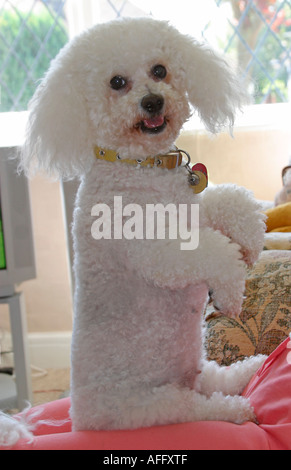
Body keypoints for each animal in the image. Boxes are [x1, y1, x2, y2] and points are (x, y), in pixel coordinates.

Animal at [1, 17, 270, 444]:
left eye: (159, 70)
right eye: (117, 82)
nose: (153, 102)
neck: (141, 165)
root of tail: (79, 420)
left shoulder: (189, 210)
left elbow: (230, 200)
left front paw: (253, 240)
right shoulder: (156, 249)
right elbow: (214, 252)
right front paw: (231, 291)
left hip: (193, 370)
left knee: (214, 377)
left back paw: (252, 367)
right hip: (151, 405)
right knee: (199, 405)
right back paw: (237, 407)